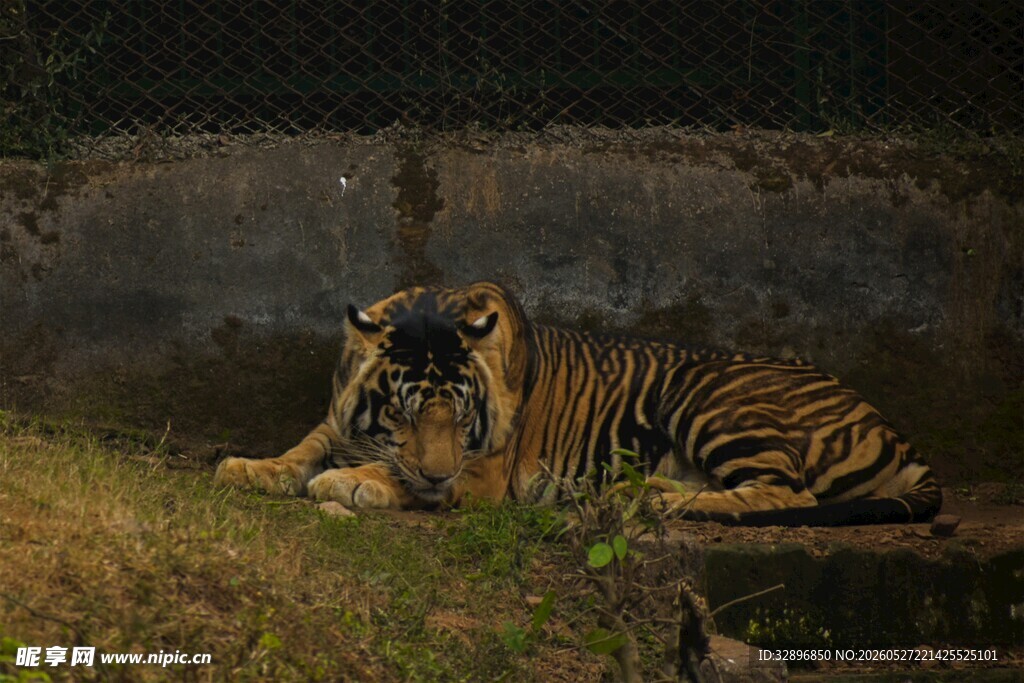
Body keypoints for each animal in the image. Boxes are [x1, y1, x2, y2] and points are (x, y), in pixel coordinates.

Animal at [214, 281, 942, 526]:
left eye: (459, 414)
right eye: (404, 410)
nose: (440, 469)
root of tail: (893, 429)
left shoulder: (481, 474)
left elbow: (402, 478)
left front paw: (353, 482)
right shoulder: (339, 421)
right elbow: (304, 447)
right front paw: (250, 467)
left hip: (711, 399)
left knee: (789, 493)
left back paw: (655, 501)